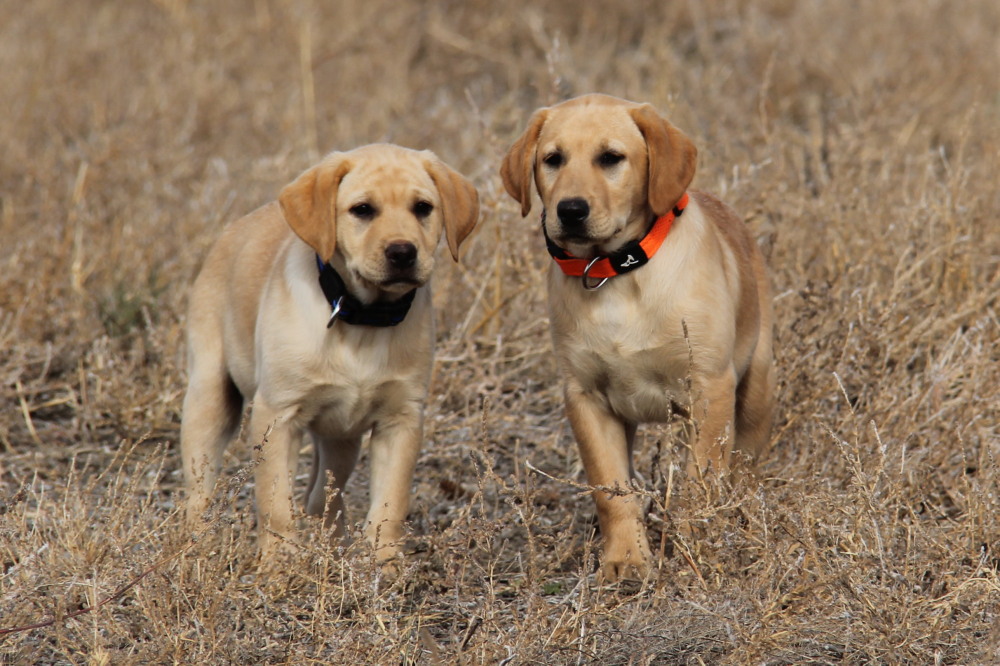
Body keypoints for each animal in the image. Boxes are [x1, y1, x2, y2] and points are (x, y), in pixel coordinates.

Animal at [183, 143, 480, 564]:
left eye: (423, 207)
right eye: (362, 210)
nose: (402, 252)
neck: (362, 318)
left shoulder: (401, 419)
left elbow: (390, 503)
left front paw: (384, 566)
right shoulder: (277, 415)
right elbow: (275, 503)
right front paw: (278, 566)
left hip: (342, 436)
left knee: (322, 494)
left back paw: (333, 547)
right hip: (210, 395)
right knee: (199, 485)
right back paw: (197, 544)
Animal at [504, 94, 776, 580]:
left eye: (611, 158)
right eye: (552, 159)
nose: (570, 210)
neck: (613, 272)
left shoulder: (709, 387)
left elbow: (699, 482)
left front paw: (695, 551)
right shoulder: (587, 398)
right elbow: (612, 490)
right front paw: (627, 559)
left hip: (755, 390)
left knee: (743, 469)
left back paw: (741, 523)